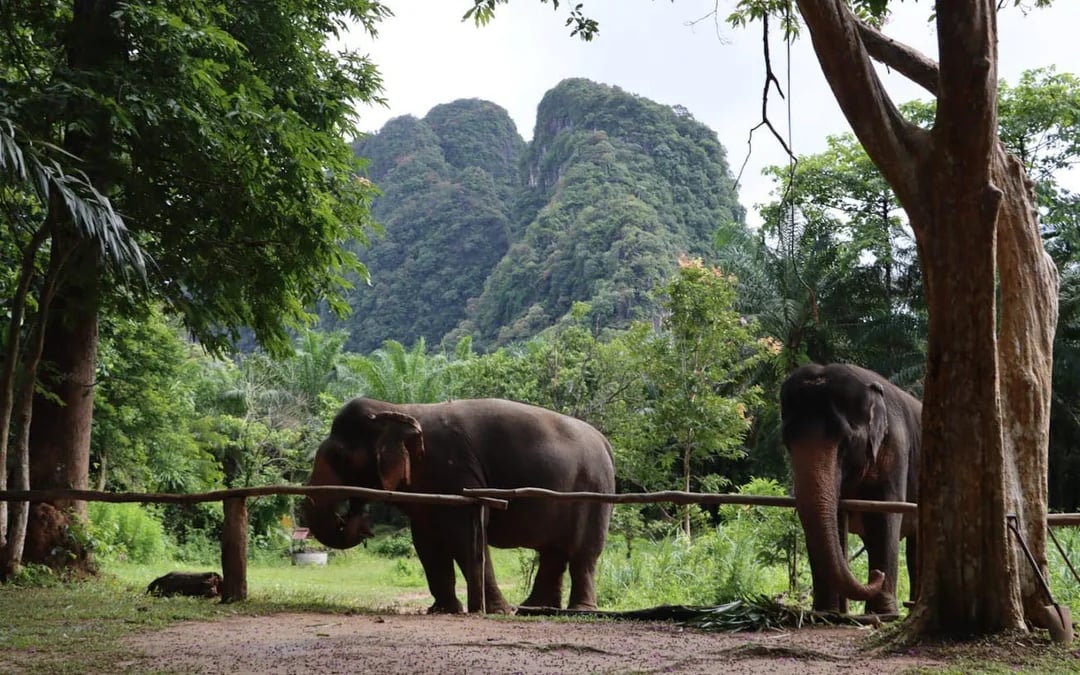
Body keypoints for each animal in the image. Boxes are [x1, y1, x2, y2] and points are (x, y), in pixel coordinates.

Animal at [303, 397, 616, 614]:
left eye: (339, 458)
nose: (357, 518)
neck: (398, 408)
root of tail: (605, 441)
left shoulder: (454, 473)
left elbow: (465, 535)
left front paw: (496, 611)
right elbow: (426, 543)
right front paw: (441, 610)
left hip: (594, 490)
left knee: (583, 553)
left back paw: (578, 611)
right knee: (555, 552)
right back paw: (533, 609)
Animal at [780, 362, 920, 615]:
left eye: (845, 443)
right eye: (787, 442)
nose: (876, 575)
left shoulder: (895, 447)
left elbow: (883, 514)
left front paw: (882, 613)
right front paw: (826, 611)